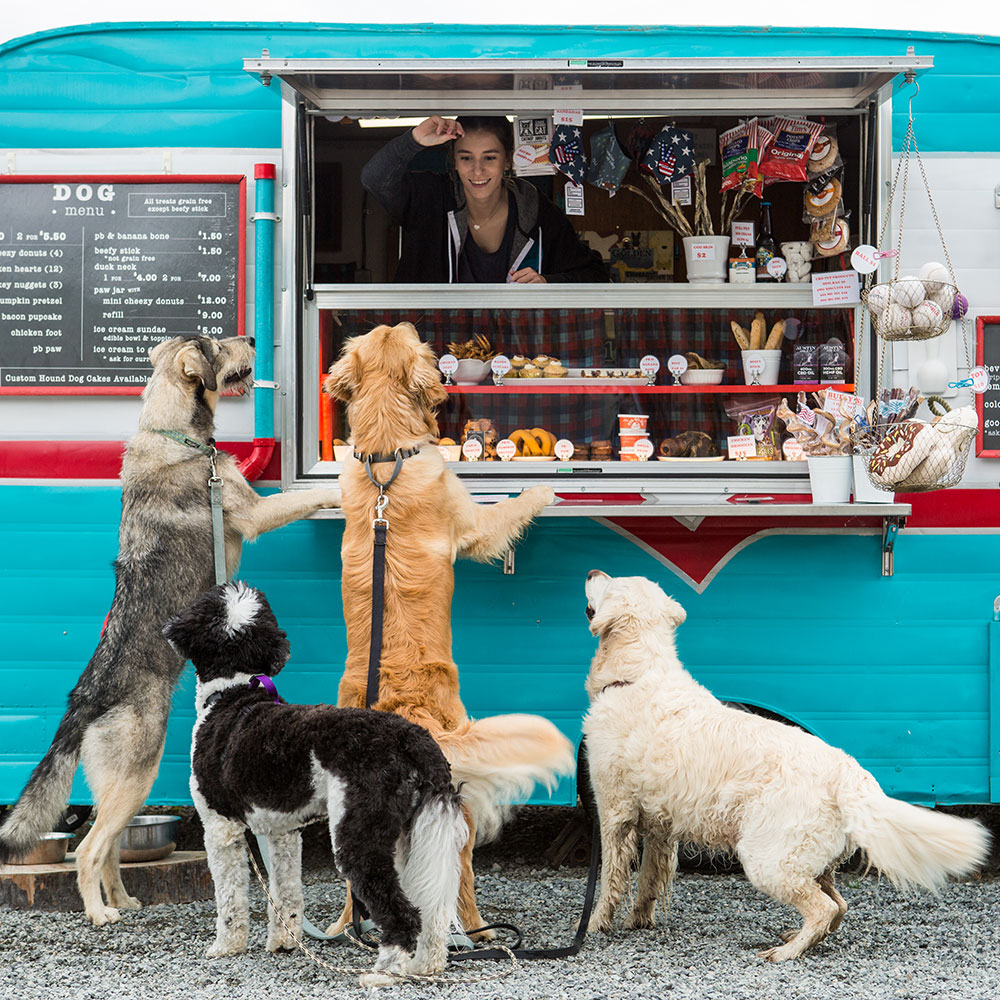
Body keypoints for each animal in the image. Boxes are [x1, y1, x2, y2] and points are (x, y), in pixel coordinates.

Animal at [0, 338, 342, 928]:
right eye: (219, 344)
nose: (255, 341)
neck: (174, 433)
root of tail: (83, 700)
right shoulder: (256, 512)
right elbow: (306, 498)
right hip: (138, 771)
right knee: (88, 850)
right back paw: (100, 914)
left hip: (125, 787)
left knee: (108, 847)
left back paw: (123, 900)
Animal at [164, 584, 468, 980]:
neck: (232, 693)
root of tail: (410, 737)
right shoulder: (283, 832)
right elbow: (287, 892)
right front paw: (284, 942)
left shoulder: (220, 827)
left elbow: (230, 897)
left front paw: (226, 946)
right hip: (408, 835)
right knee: (432, 911)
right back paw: (425, 964)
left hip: (359, 833)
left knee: (401, 912)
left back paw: (383, 972)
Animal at [324, 324, 576, 932]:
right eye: (406, 333)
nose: (412, 322)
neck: (385, 456)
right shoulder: (475, 524)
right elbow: (507, 510)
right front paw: (544, 490)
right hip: (457, 806)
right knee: (459, 882)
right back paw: (481, 930)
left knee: (355, 883)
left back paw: (345, 927)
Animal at [584, 572, 988, 960]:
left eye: (609, 582)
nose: (591, 571)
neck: (636, 675)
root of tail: (850, 772)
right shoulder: (660, 824)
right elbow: (650, 878)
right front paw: (640, 920)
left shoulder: (614, 811)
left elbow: (611, 878)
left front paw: (593, 925)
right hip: (812, 863)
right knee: (839, 905)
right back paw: (798, 937)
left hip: (766, 859)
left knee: (824, 909)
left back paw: (785, 952)